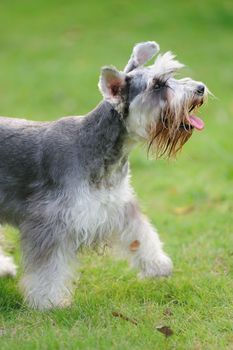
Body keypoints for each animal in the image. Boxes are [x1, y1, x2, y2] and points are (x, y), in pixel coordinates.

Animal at [0, 41, 208, 308]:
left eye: (170, 76)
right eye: (157, 85)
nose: (200, 88)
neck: (97, 146)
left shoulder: (119, 206)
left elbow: (142, 234)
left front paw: (158, 265)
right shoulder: (50, 221)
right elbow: (48, 269)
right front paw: (48, 302)